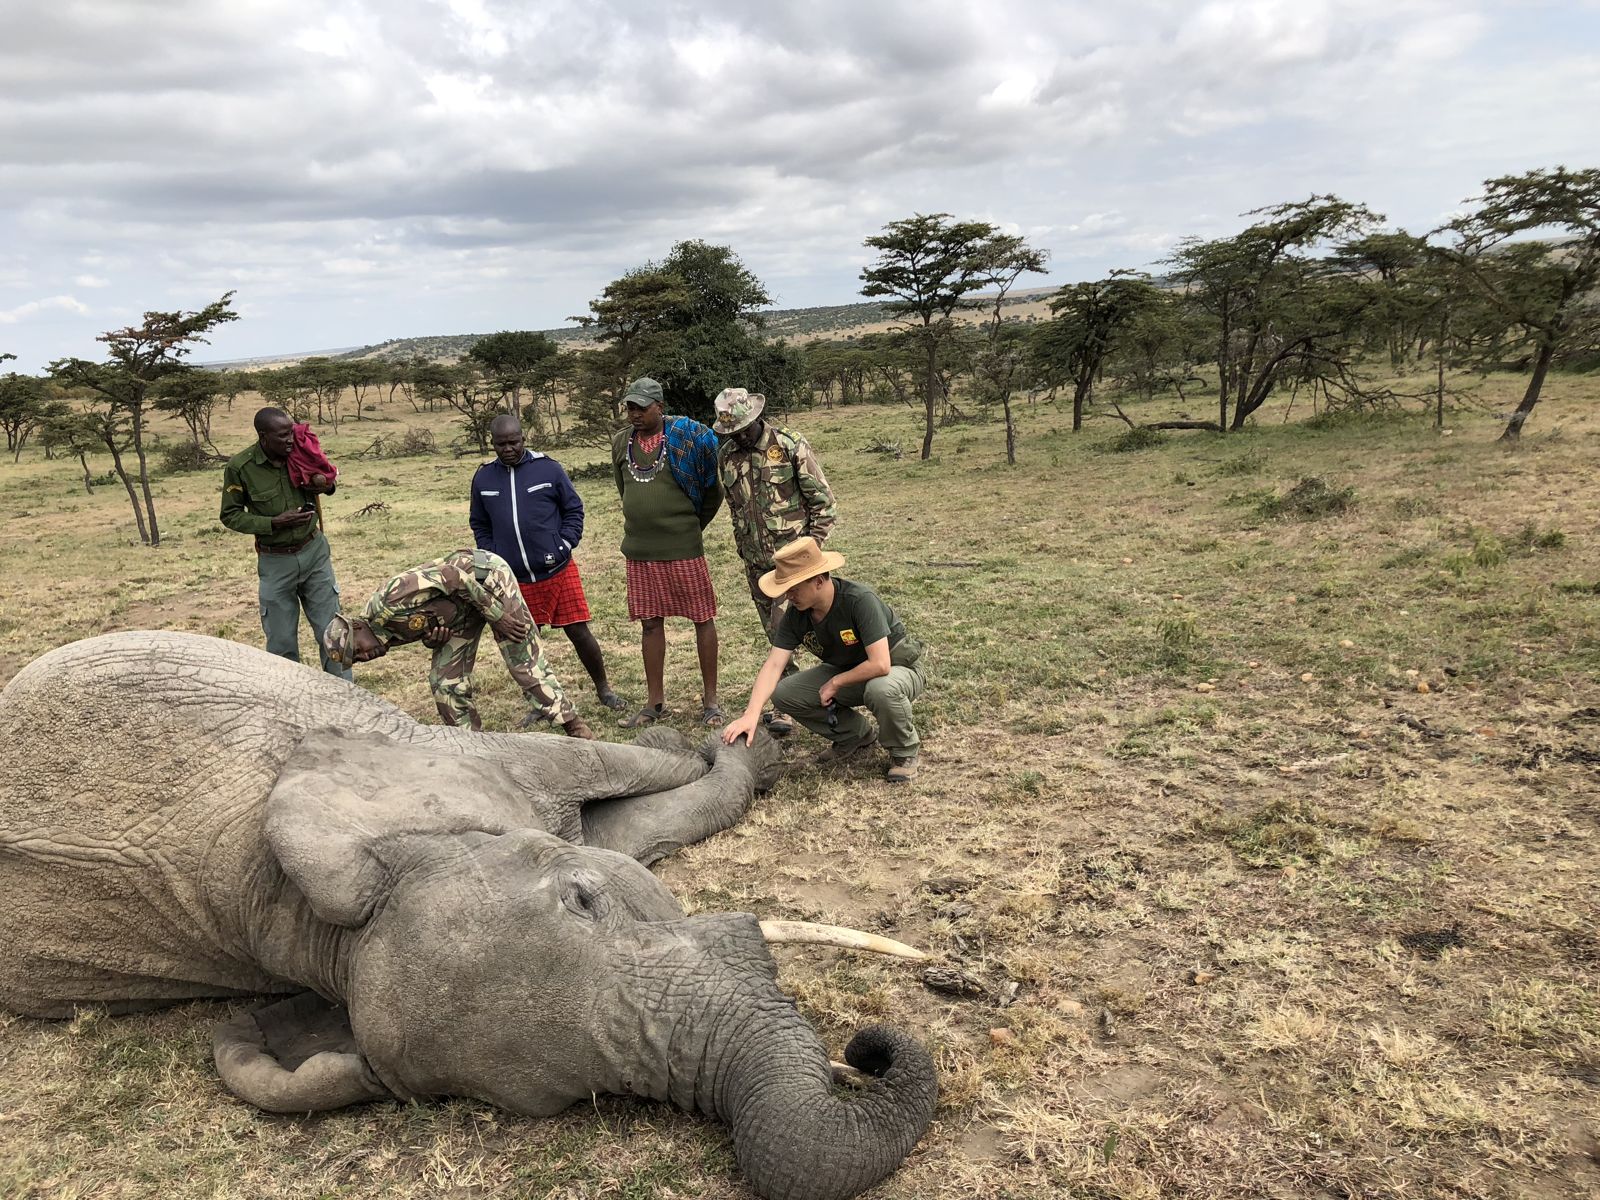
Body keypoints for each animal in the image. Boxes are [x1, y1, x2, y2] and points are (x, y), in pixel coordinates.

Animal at [0, 631, 937, 1200]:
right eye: (581, 1099)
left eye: (583, 900)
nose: (869, 1053)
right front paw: (740, 746)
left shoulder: (441, 763)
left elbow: (612, 786)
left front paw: (732, 744)